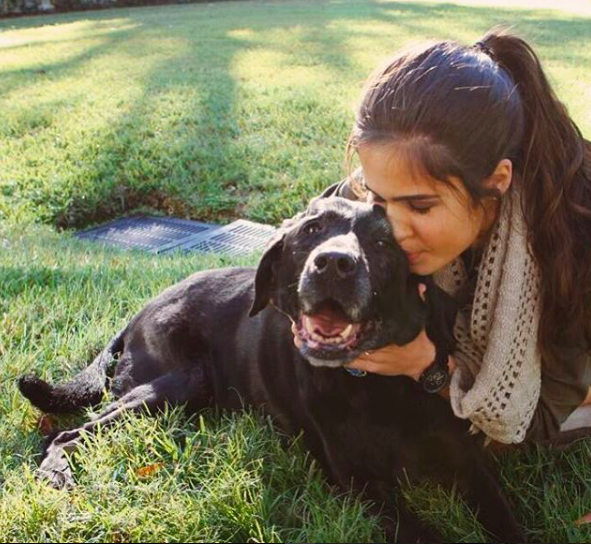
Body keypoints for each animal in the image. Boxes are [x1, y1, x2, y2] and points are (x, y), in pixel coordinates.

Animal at [20, 198, 524, 540]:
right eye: (312, 229)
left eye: (383, 242)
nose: (333, 264)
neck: (378, 388)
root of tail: (137, 313)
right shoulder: (361, 485)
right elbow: (425, 533)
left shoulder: (470, 465)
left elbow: (509, 523)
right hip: (175, 383)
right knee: (65, 432)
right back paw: (55, 470)